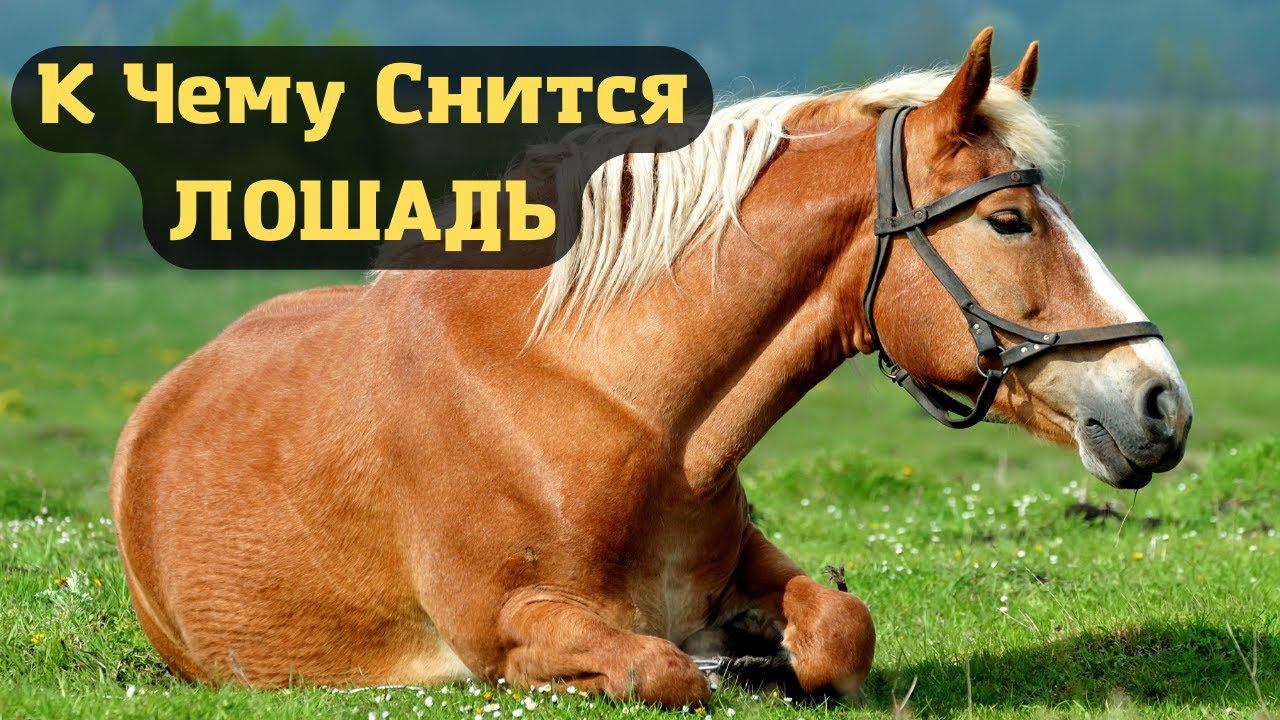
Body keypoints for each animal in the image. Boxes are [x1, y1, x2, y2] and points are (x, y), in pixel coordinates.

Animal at [110, 28, 1192, 707]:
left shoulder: (756, 567)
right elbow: (661, 671)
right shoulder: (509, 625)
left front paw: (771, 660)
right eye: (1009, 221)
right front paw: (718, 672)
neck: (616, 408)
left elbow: (842, 628)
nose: (1159, 402)